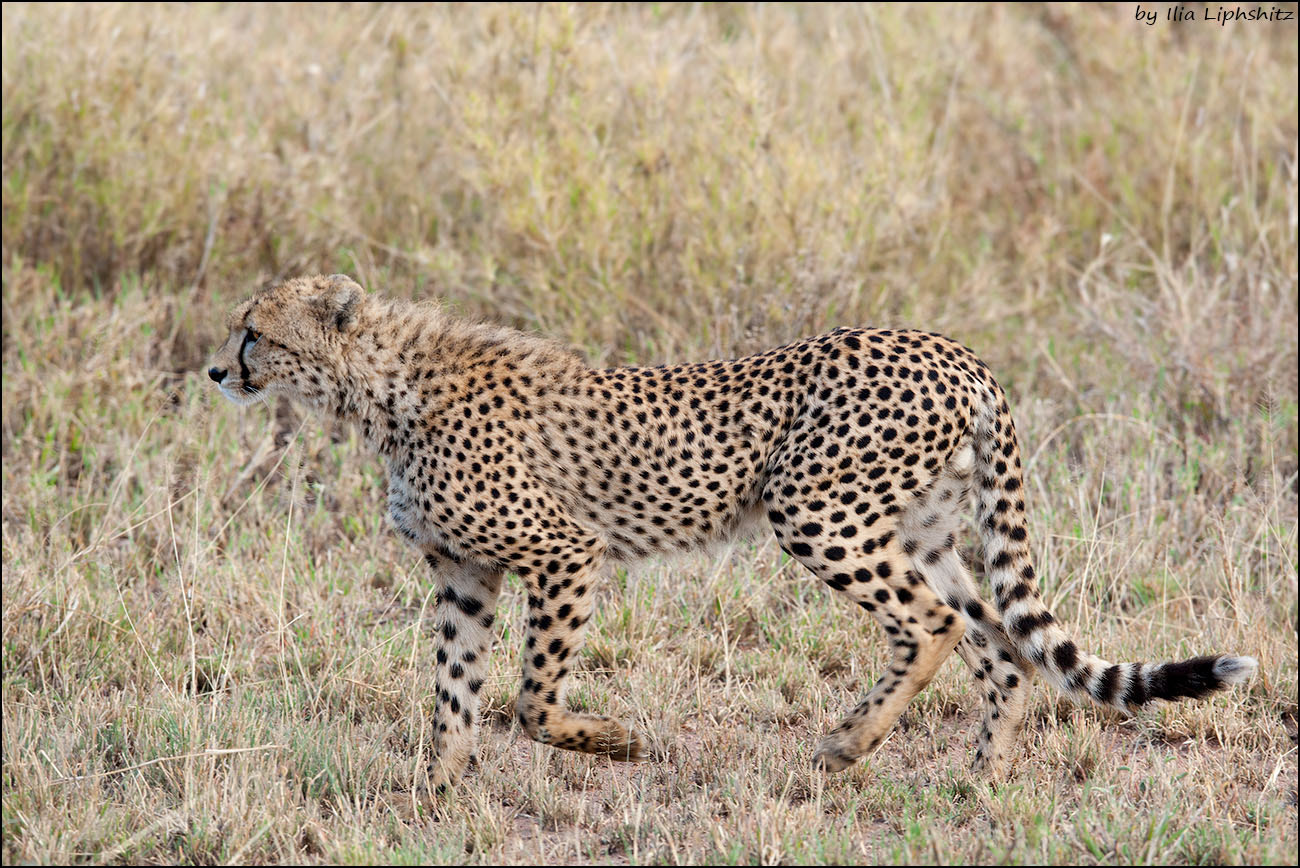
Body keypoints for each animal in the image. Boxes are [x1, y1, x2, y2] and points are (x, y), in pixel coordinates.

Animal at [208, 274, 1253, 790]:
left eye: (254, 331)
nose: (217, 371)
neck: (382, 390)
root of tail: (954, 350)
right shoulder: (465, 573)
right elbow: (453, 694)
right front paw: (439, 791)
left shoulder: (566, 553)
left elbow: (530, 699)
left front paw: (612, 744)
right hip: (920, 532)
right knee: (999, 643)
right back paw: (983, 777)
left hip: (817, 511)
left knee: (936, 627)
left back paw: (847, 744)